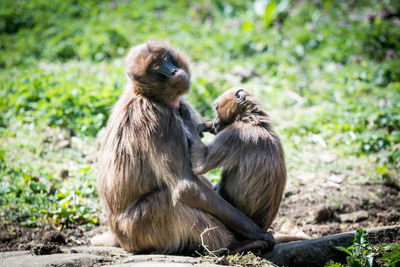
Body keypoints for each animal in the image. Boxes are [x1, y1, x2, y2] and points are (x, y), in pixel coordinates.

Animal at [92, 42, 276, 255]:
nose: (173, 71)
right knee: (169, 200)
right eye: (156, 67)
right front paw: (258, 233)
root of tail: (117, 234)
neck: (148, 96)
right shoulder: (161, 121)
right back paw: (231, 246)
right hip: (136, 229)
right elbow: (186, 187)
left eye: (165, 58)